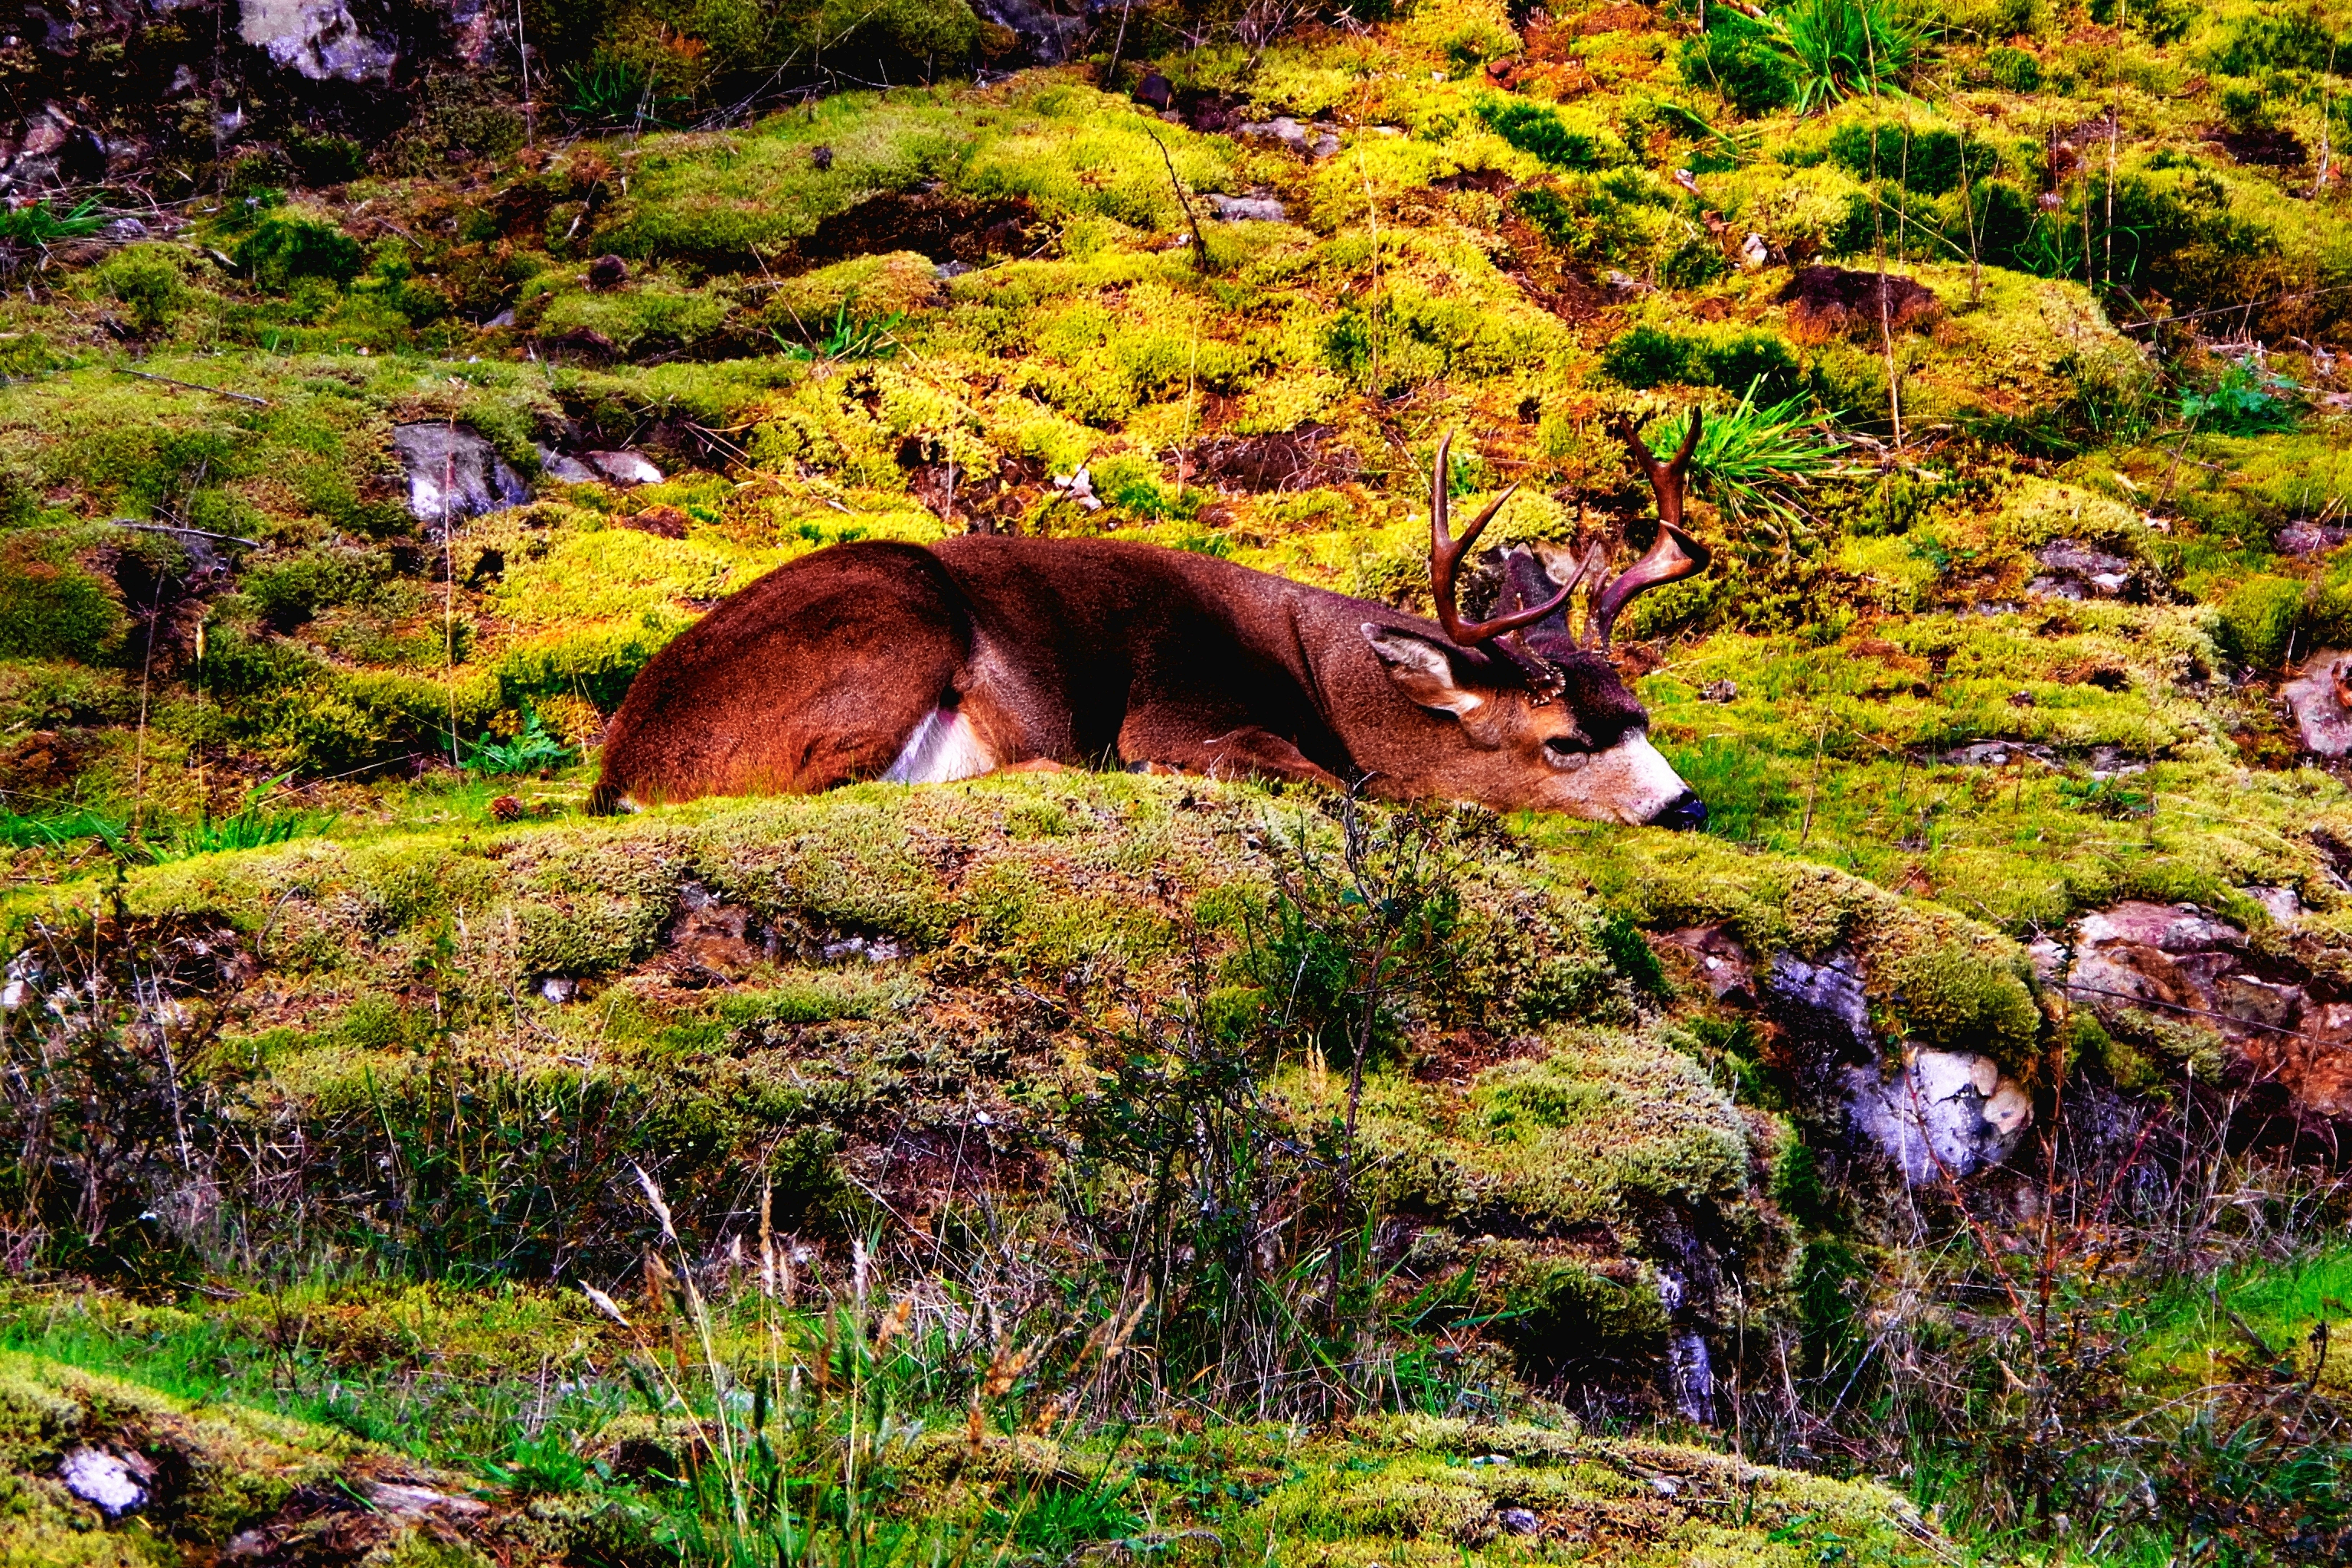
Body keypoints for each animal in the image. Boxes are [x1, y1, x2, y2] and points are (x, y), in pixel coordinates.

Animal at [590, 411, 1712, 828]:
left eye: (1642, 719)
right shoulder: (1177, 706)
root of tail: (625, 763)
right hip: (900, 619)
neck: (1326, 682)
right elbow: (1336, 780)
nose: (1687, 809)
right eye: (1566, 741)